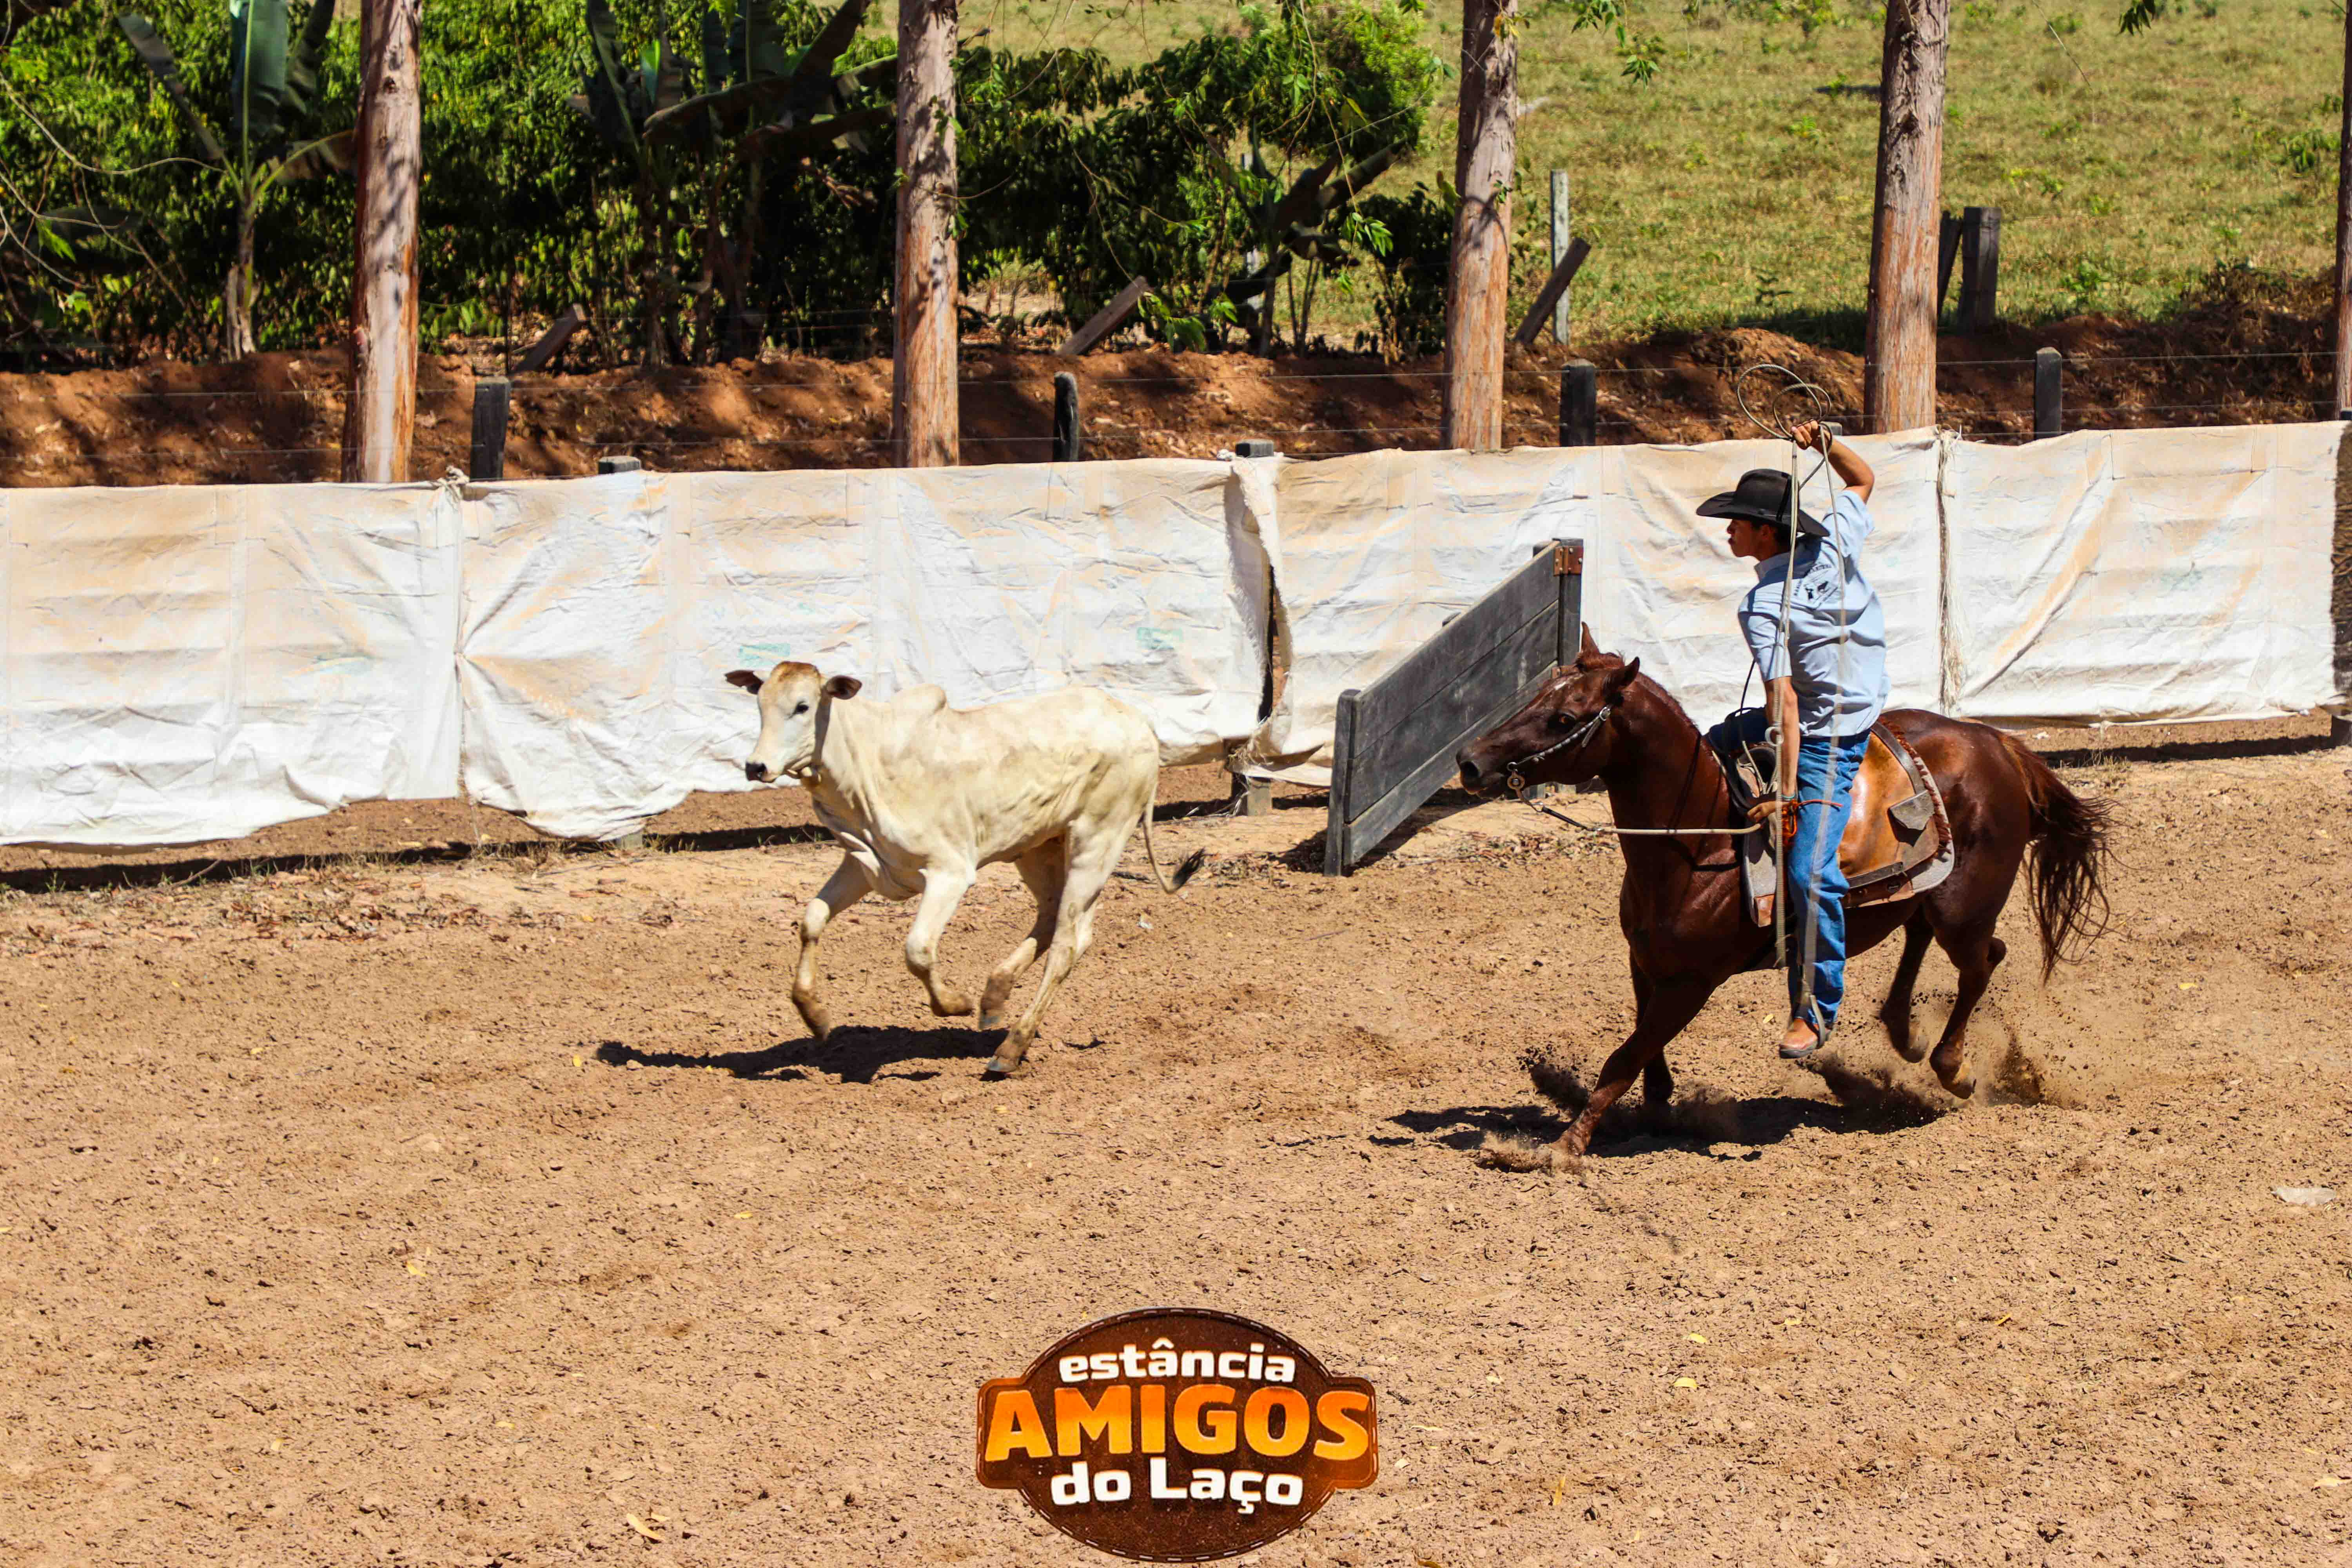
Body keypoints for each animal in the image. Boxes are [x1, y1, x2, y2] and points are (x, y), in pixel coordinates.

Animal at [725, 661, 1204, 1075]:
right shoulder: (864, 864)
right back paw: (995, 999)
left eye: (803, 706)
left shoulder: (950, 872)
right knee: (1051, 918)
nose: (755, 766)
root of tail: (1138, 722)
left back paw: (1010, 1048)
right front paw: (815, 1015)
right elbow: (812, 919)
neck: (869, 762)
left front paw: (954, 1004)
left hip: (1097, 842)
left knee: (1069, 943)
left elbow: (918, 950)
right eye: (760, 703)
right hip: (1038, 847)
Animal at [1454, 627, 2111, 1165]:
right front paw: (1658, 1110)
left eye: (1565, 718)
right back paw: (1903, 1032)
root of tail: (2000, 745)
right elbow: (1645, 1047)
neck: (1701, 839)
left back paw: (1952, 1069)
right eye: (1537, 696)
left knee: (1982, 962)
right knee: (1922, 939)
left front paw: (1561, 1149)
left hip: (1965, 908)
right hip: (1925, 893)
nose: (1469, 761)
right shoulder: (1645, 962)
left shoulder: (1692, 982)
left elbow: (1625, 1054)